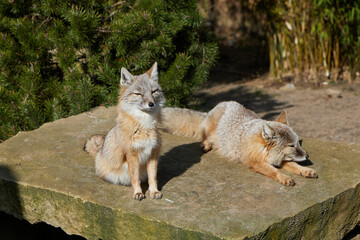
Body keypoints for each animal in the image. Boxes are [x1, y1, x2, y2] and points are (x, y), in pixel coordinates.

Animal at [84, 62, 165, 200]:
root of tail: (101, 150)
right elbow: (135, 178)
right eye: (138, 94)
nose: (151, 104)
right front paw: (138, 192)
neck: (145, 126)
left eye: (154, 92)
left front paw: (154, 191)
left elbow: (153, 177)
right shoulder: (132, 154)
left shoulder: (153, 152)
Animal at [162, 101, 318, 186]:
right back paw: (206, 144)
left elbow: (294, 165)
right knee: (205, 136)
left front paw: (305, 171)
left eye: (298, 143)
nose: (308, 156)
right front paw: (284, 177)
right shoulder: (254, 162)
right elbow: (273, 171)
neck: (262, 149)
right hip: (210, 130)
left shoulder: (279, 160)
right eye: (291, 146)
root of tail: (225, 103)